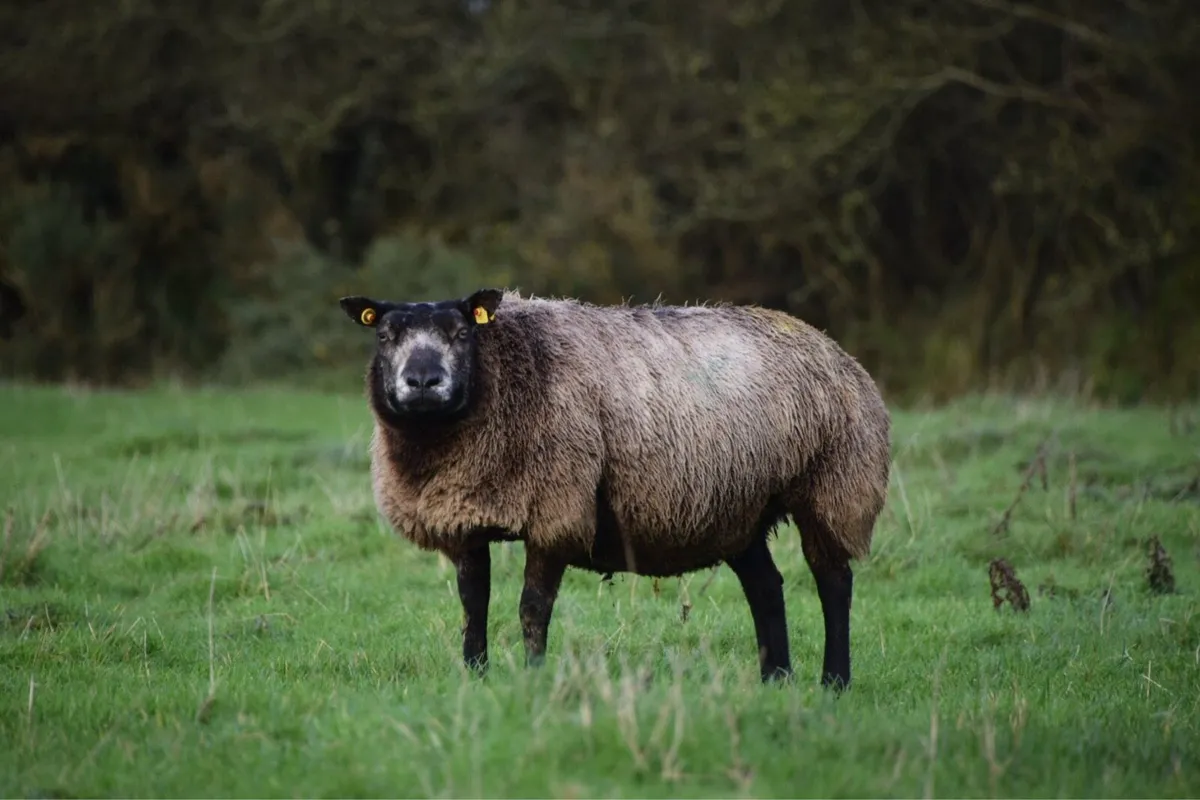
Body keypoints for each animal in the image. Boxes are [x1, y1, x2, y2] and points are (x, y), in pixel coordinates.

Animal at [338, 288, 891, 689]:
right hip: (737, 507)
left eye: (459, 333)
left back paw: (834, 683)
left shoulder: (557, 507)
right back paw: (775, 680)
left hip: (835, 486)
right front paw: (476, 675)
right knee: (767, 587)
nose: (423, 381)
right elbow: (473, 603)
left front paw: (534, 680)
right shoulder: (466, 515)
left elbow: (532, 608)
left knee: (833, 583)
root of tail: (831, 347)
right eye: (384, 334)